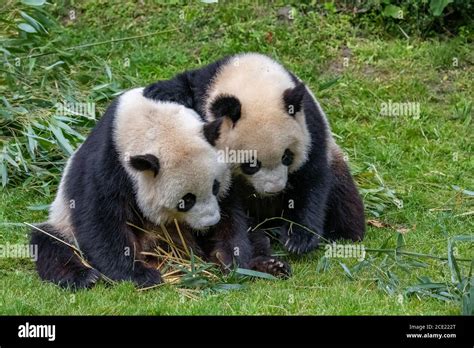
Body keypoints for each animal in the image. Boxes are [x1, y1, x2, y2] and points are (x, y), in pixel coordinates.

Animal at [31, 88, 288, 290]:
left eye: (215, 188)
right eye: (186, 200)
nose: (209, 224)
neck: (151, 120)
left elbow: (231, 213)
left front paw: (229, 260)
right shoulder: (108, 164)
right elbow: (100, 220)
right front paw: (139, 275)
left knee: (257, 236)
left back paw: (269, 265)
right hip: (63, 224)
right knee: (50, 243)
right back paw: (85, 277)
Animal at [143, 53, 364, 256]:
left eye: (287, 157)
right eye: (251, 164)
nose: (274, 189)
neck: (254, 80)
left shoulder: (310, 124)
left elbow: (311, 178)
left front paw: (298, 238)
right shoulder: (206, 92)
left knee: (342, 193)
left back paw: (344, 233)